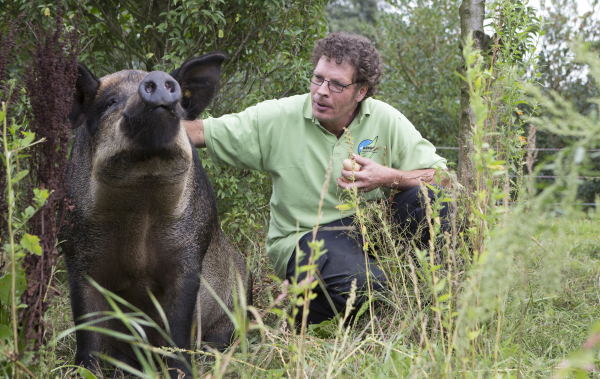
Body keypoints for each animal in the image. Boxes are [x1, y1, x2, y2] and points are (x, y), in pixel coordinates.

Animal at [59, 52, 251, 378]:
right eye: (110, 101)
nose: (159, 78)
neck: (140, 207)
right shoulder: (77, 256)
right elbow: (87, 329)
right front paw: (84, 370)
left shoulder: (189, 255)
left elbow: (179, 329)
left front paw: (183, 372)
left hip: (239, 298)